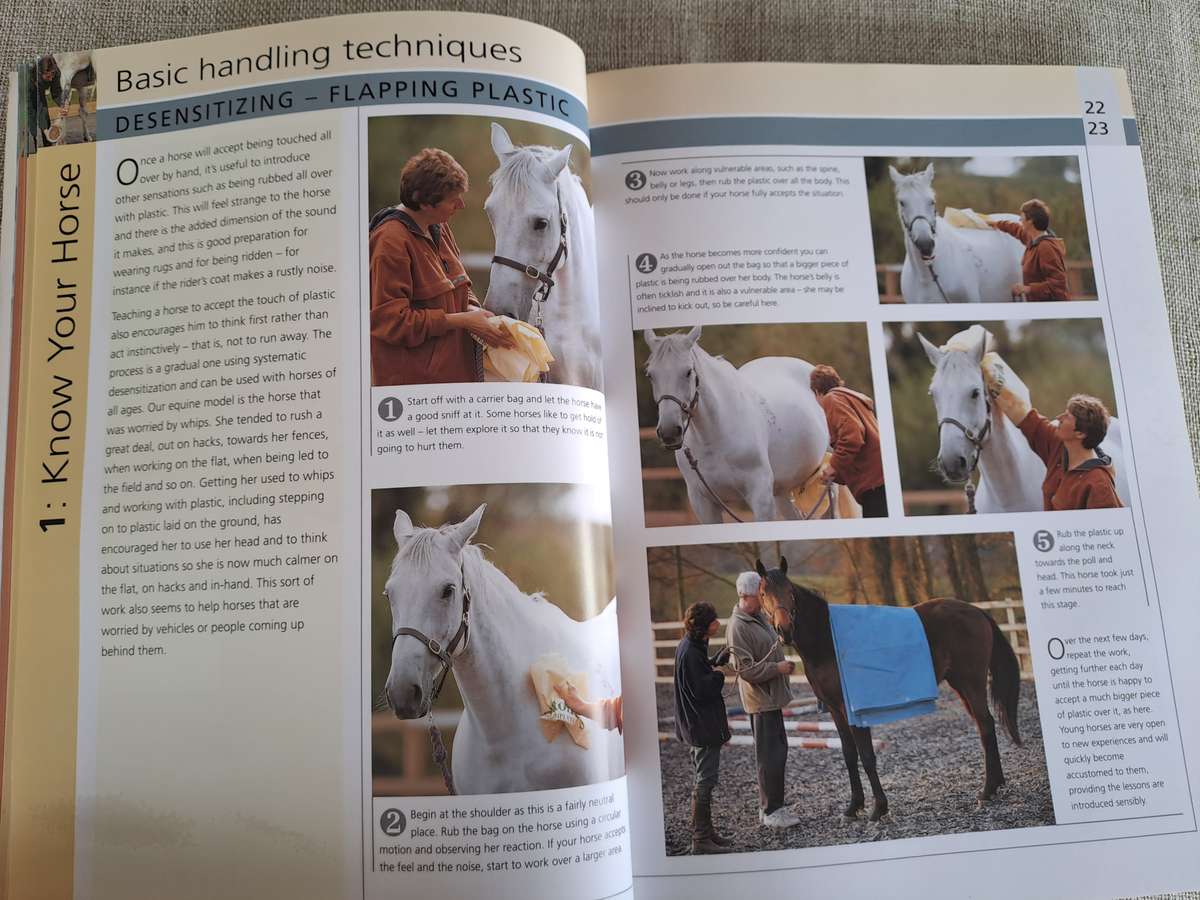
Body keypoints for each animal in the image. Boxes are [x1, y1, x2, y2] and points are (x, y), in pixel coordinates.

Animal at [642, 326, 841, 523]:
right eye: (650, 375)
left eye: (688, 372)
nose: (669, 432)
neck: (714, 435)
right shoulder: (703, 502)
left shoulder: (760, 496)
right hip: (783, 491)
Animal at [754, 557, 1023, 822]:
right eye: (763, 593)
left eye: (790, 592)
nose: (784, 630)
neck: (827, 640)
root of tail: (976, 611)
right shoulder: (835, 710)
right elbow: (849, 755)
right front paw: (854, 807)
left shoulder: (855, 710)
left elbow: (866, 755)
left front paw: (878, 808)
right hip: (960, 684)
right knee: (984, 724)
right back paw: (995, 785)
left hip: (972, 681)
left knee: (985, 724)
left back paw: (987, 790)